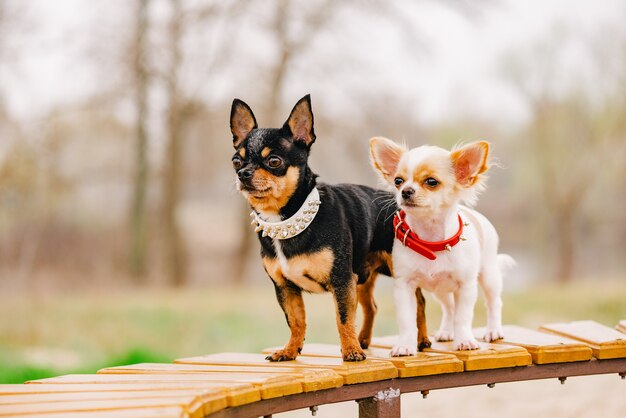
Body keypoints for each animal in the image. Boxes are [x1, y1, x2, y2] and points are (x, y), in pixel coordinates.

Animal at [228, 96, 428, 360]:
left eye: (274, 161)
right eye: (236, 161)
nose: (243, 173)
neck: (286, 220)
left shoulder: (342, 281)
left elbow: (343, 318)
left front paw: (350, 351)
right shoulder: (285, 288)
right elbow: (296, 320)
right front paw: (290, 350)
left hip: (398, 273)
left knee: (419, 304)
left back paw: (421, 340)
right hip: (362, 277)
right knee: (371, 307)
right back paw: (363, 340)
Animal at [368, 136, 510, 352]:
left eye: (431, 182)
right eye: (398, 181)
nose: (406, 191)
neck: (431, 241)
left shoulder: (466, 287)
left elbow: (463, 317)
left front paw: (465, 340)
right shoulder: (404, 287)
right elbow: (407, 320)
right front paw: (405, 345)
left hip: (489, 276)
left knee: (494, 303)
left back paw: (493, 331)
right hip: (440, 290)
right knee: (449, 307)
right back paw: (446, 331)